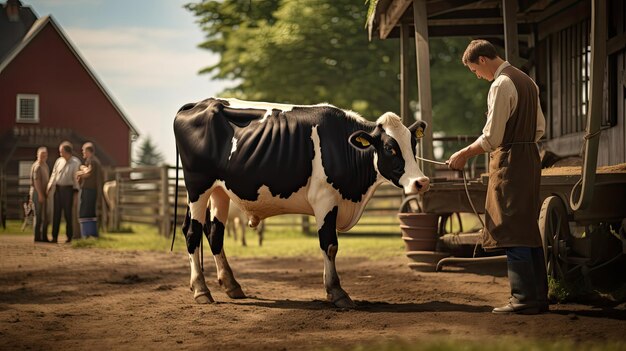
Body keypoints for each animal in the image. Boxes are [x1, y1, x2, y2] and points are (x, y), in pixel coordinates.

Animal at [176, 97, 428, 308]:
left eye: (413, 146)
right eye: (389, 148)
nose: (421, 182)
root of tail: (200, 103)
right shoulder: (325, 199)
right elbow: (330, 245)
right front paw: (337, 293)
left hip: (219, 191)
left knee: (215, 233)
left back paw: (232, 286)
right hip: (197, 186)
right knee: (192, 233)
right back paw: (201, 290)